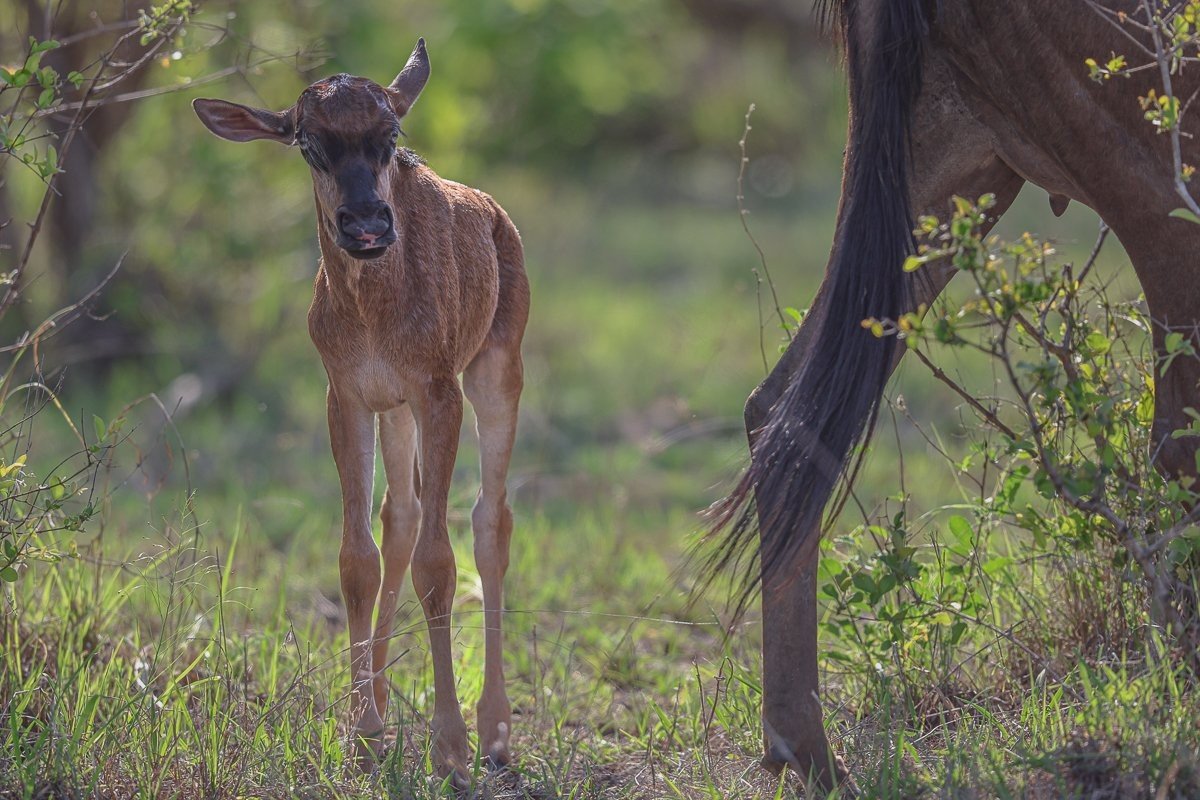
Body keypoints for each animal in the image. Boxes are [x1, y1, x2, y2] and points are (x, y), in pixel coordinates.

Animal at [192, 39, 529, 785]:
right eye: (307, 142)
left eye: (391, 134)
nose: (368, 225)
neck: (374, 309)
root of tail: (498, 215)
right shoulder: (347, 394)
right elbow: (357, 558)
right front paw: (363, 733)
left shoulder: (438, 389)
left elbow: (439, 561)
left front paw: (450, 748)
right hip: (393, 409)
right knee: (397, 517)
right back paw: (378, 707)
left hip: (499, 366)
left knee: (490, 521)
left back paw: (495, 731)